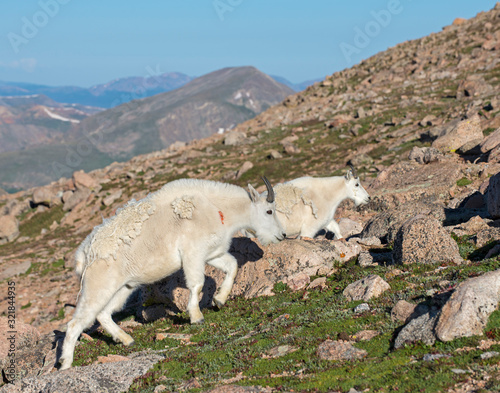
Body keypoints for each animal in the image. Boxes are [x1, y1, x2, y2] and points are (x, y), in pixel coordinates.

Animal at [57, 176, 286, 370]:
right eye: (269, 211)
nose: (282, 235)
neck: (218, 209)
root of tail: (84, 254)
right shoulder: (192, 253)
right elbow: (197, 283)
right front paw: (196, 316)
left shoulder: (212, 253)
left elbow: (232, 266)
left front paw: (219, 300)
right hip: (98, 285)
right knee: (76, 323)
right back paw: (66, 364)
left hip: (125, 286)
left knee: (103, 314)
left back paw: (127, 340)